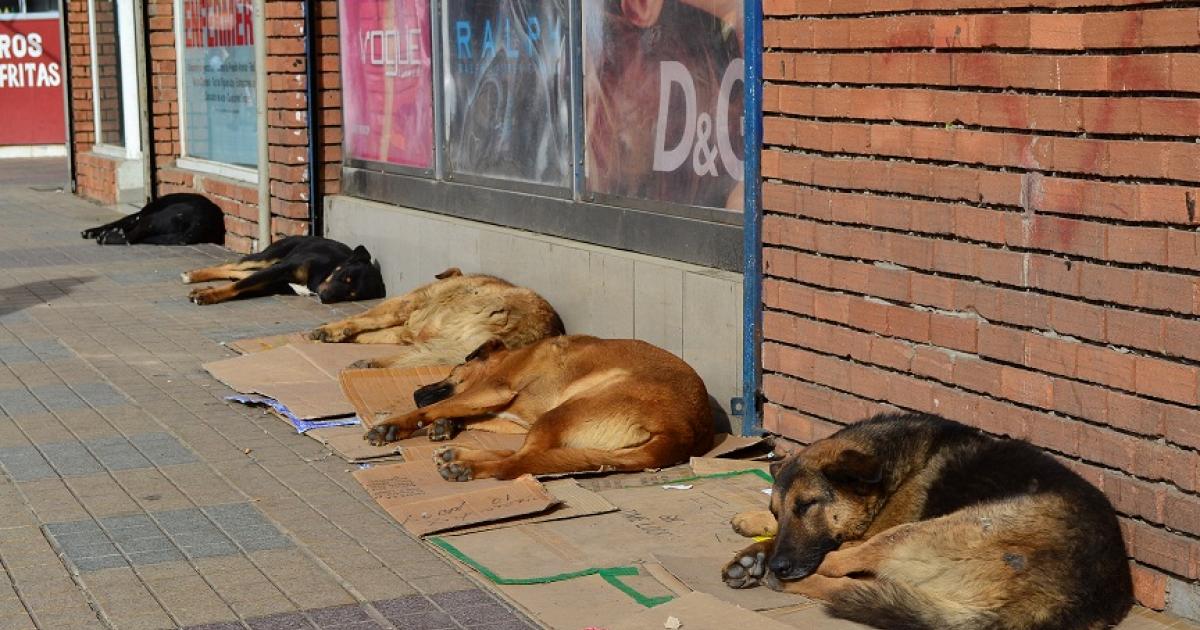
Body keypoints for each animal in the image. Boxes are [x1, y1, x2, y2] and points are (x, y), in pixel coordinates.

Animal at [81, 192, 225, 246]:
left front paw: (93, 231)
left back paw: (107, 237)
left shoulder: (137, 216)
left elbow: (115, 222)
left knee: (130, 237)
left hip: (152, 219)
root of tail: (200, 221)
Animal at [180, 235, 384, 304]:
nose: (325, 298)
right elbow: (238, 286)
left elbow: (240, 287)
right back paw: (193, 275)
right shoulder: (280, 270)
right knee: (231, 265)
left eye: (351, 295)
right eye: (345, 276)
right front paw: (207, 295)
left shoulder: (275, 284)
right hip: (268, 257)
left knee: (241, 273)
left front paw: (206, 293)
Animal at [307, 268, 564, 369]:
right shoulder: (405, 329)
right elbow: (370, 333)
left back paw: (369, 362)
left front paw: (329, 330)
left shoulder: (405, 304)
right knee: (418, 357)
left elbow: (362, 318)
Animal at [362, 336, 710, 480]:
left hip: (564, 410)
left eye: (452, 371)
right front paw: (447, 425)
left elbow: (442, 406)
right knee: (526, 455)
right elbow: (471, 416)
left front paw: (393, 425)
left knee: (517, 462)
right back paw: (459, 454)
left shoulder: (493, 388)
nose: (415, 391)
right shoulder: (509, 415)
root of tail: (681, 431)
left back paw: (466, 465)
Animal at [720, 412, 1132, 628]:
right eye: (780, 511)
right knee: (862, 582)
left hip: (937, 528)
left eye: (808, 505)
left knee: (843, 566)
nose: (780, 565)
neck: (895, 474)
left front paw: (759, 553)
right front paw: (753, 527)